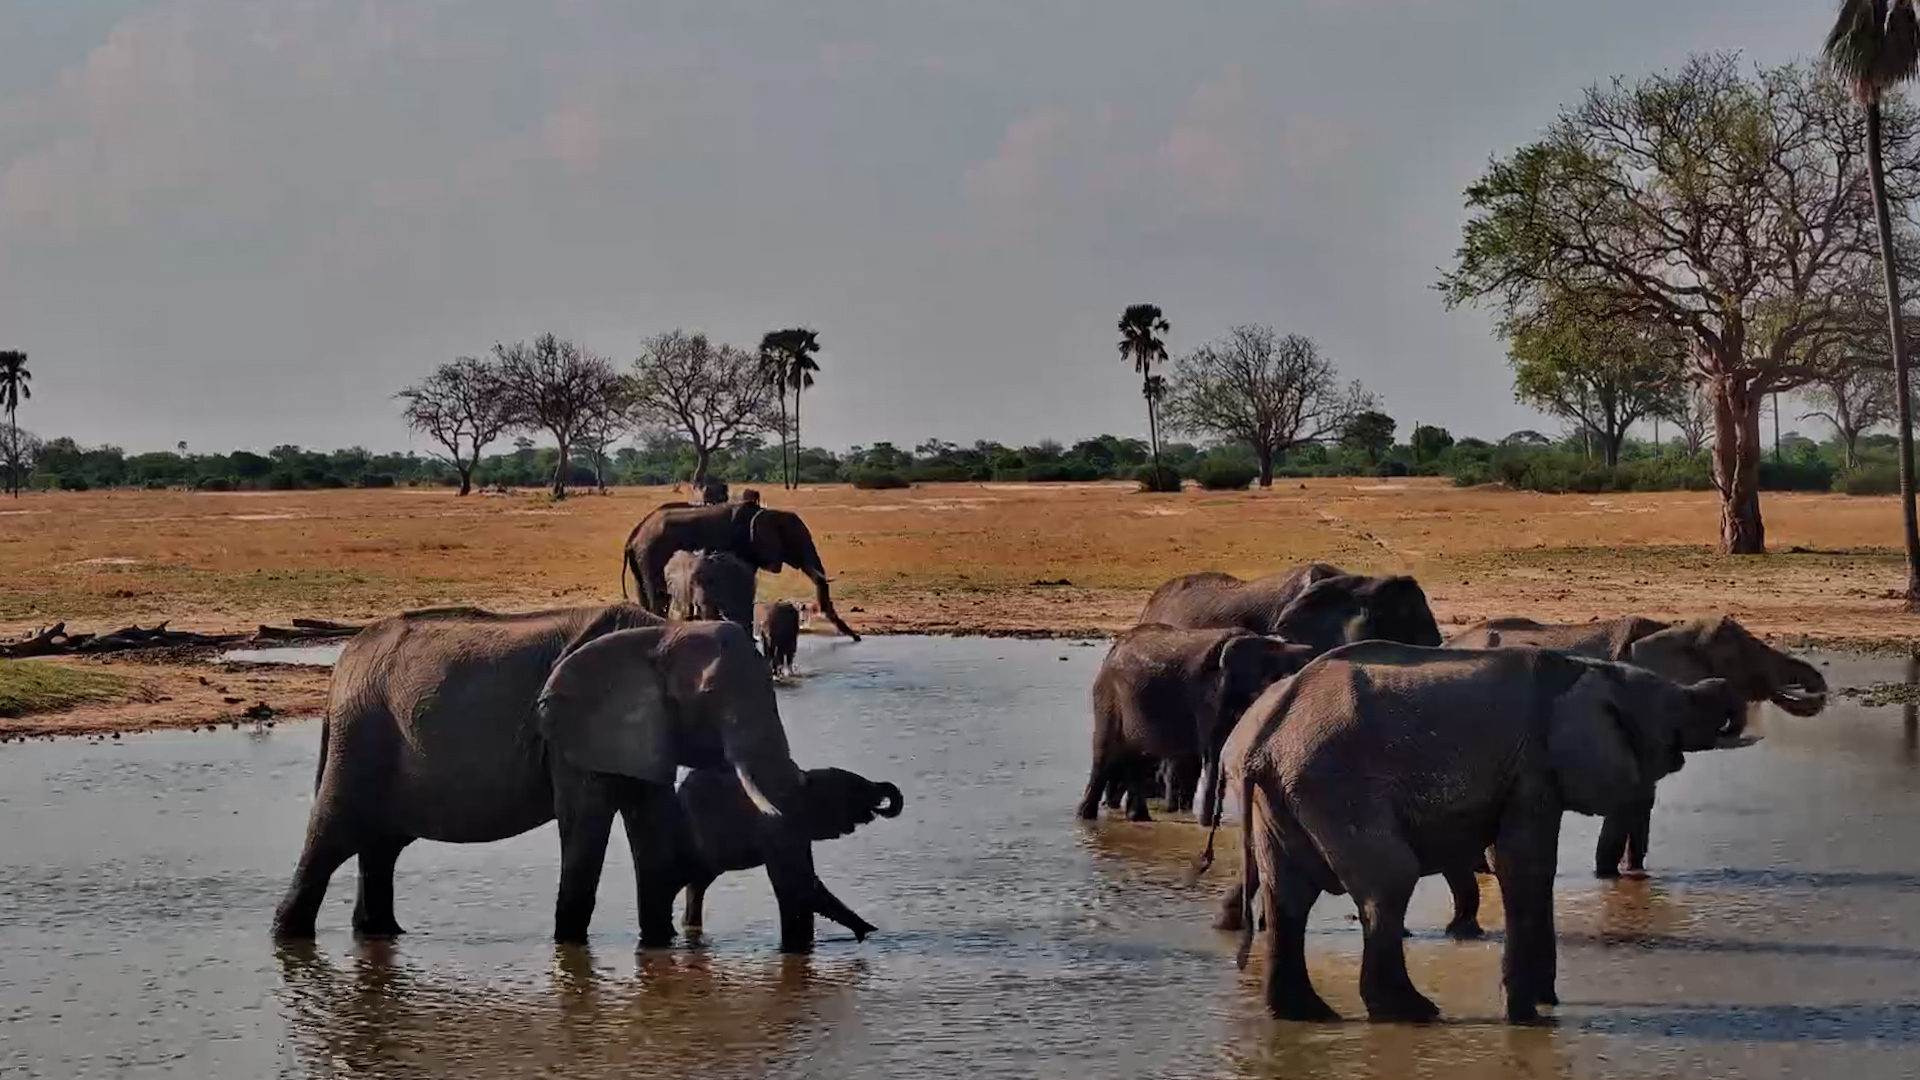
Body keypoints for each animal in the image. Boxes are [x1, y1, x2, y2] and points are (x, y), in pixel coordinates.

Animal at [271, 604, 831, 954]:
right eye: (712, 697)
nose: (794, 953)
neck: (660, 633)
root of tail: (342, 665)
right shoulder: (572, 731)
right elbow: (584, 825)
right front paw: (570, 950)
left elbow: (652, 830)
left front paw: (658, 948)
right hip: (360, 733)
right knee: (331, 836)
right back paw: (288, 936)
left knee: (381, 847)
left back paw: (382, 934)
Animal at [621, 501, 861, 641]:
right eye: (794, 542)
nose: (857, 638)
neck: (764, 511)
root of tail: (633, 536)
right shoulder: (741, 544)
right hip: (651, 554)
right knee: (659, 597)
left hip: (641, 560)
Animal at [675, 765, 903, 939]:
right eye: (856, 787)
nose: (883, 800)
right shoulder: (778, 829)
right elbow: (797, 885)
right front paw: (870, 932)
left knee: (697, 885)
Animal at [1077, 624, 1316, 825]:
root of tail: (1113, 650)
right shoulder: (1210, 697)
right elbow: (1214, 756)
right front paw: (1206, 825)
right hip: (1108, 698)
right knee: (1105, 755)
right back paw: (1086, 818)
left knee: (1139, 759)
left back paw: (1139, 819)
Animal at [1210, 641, 1747, 1024]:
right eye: (1675, 706)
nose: (1724, 686)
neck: (1585, 670)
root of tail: (1262, 736)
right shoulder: (1532, 769)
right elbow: (1524, 866)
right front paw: (1530, 1020)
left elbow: (1530, 869)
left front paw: (1546, 1003)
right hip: (1334, 785)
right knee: (1389, 882)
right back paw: (1413, 1014)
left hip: (1278, 795)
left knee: (1288, 896)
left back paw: (1308, 1016)